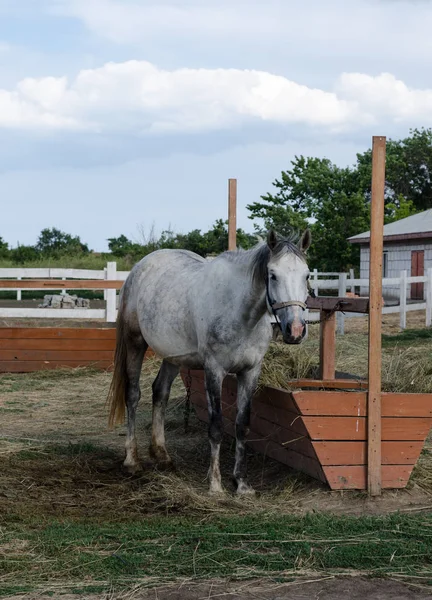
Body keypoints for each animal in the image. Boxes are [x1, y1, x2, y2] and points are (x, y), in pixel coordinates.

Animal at [108, 229, 310, 492]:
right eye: (273, 275)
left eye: (307, 275)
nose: (295, 330)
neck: (240, 312)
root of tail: (139, 267)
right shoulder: (214, 371)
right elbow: (216, 427)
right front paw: (215, 484)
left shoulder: (250, 372)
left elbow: (242, 425)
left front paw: (241, 483)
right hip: (135, 343)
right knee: (132, 395)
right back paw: (132, 461)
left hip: (173, 356)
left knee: (160, 392)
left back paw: (162, 455)